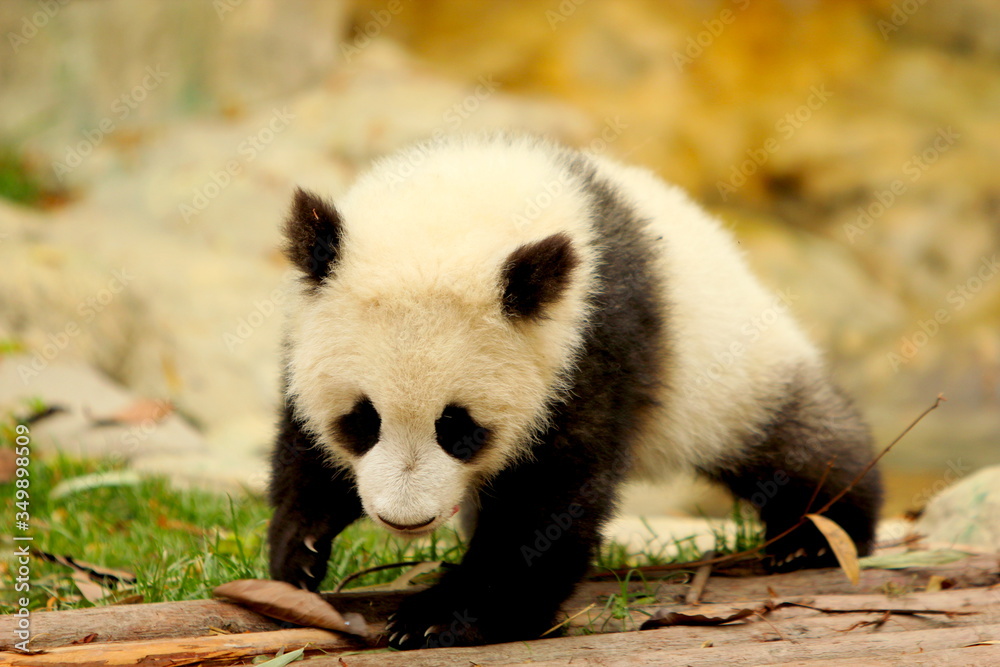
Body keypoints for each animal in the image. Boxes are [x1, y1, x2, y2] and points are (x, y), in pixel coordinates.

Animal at [268, 133, 882, 649]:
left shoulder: (592, 339)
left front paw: (441, 617)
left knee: (793, 441)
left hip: (729, 371)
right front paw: (298, 555)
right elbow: (303, 443)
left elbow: (550, 498)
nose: (406, 519)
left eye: (458, 429)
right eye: (363, 420)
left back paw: (816, 534)